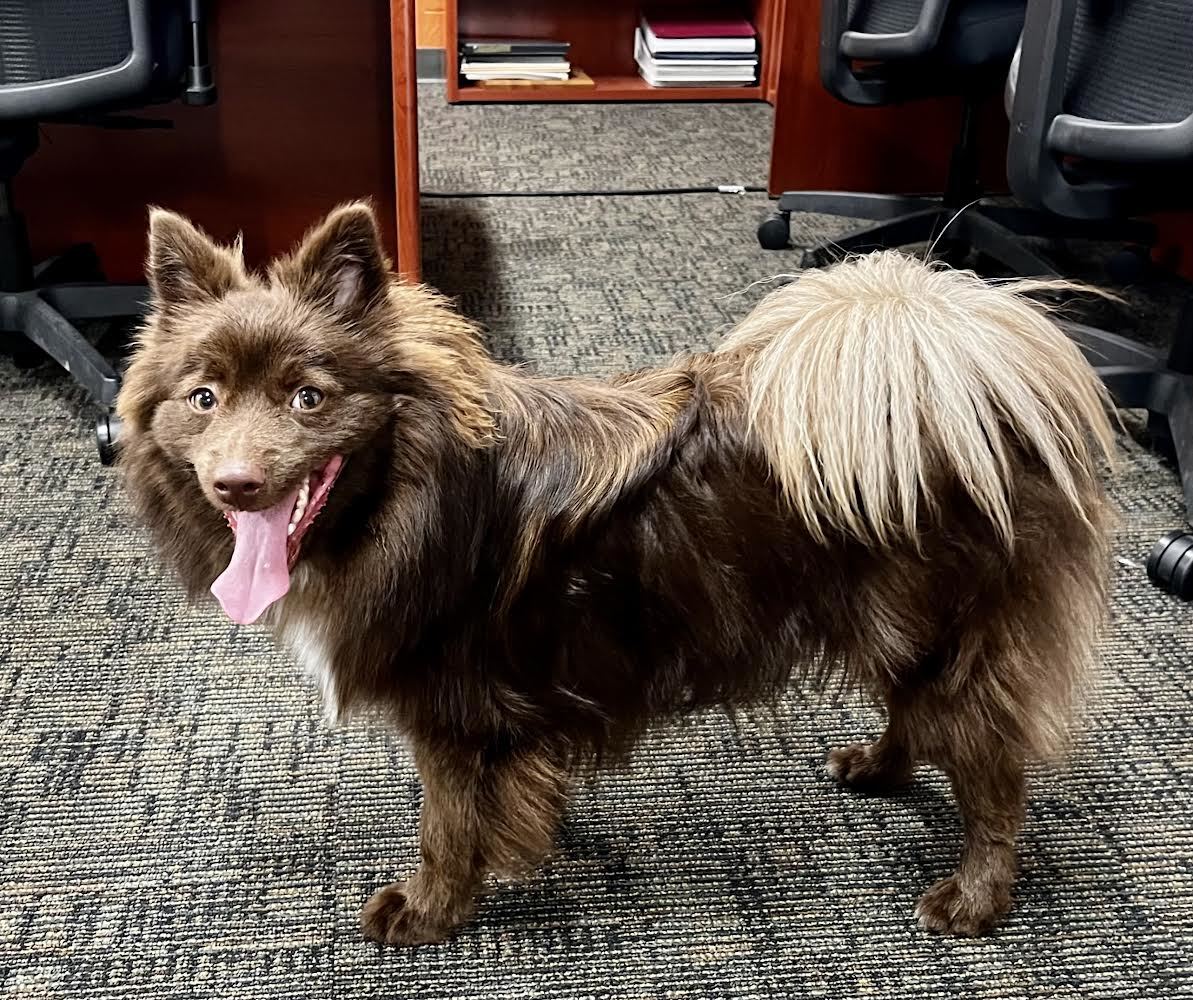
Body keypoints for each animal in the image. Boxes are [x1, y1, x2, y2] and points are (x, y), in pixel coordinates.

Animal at [116, 204, 1111, 949]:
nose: (235, 482)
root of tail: (959, 376)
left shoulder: (452, 710)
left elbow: (446, 827)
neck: (410, 495)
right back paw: (875, 767)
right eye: (203, 399)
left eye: (307, 398)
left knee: (994, 773)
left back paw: (972, 899)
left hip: (948, 634)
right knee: (916, 714)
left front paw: (429, 913)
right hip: (892, 624)